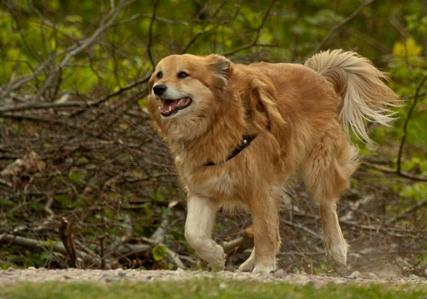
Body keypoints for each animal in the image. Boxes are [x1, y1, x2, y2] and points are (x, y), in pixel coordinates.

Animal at [147, 49, 398, 274]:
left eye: (183, 74)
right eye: (159, 74)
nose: (157, 89)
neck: (214, 122)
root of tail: (319, 76)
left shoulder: (261, 188)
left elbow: (265, 232)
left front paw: (264, 267)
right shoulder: (204, 189)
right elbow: (193, 233)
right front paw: (216, 256)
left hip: (318, 165)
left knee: (326, 203)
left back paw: (336, 248)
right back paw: (248, 262)